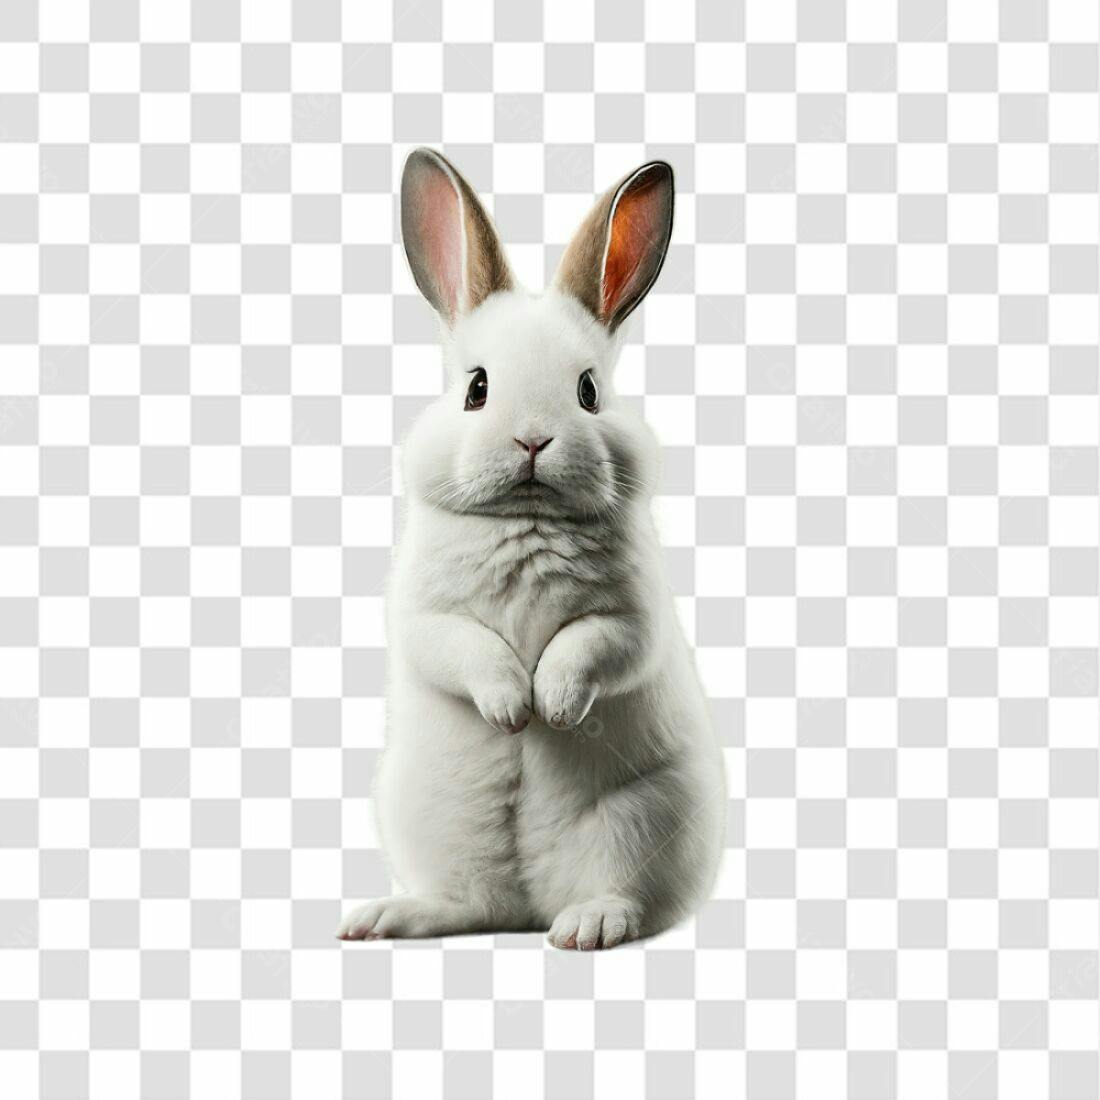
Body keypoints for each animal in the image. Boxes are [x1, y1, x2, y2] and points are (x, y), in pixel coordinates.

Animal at [337, 148, 726, 950]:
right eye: (477, 388)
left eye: (588, 391)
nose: (533, 441)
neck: (526, 517)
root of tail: (530, 906)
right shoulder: (424, 615)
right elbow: (465, 647)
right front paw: (512, 709)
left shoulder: (634, 619)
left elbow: (591, 646)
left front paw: (553, 709)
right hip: (429, 817)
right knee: (469, 903)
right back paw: (389, 916)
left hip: (646, 817)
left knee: (628, 897)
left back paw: (587, 927)